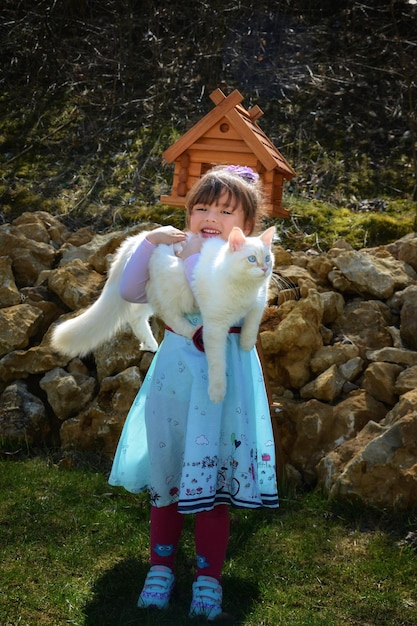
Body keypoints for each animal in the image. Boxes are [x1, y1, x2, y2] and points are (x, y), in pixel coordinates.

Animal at [51, 224, 272, 400]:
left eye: (268, 258)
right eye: (252, 259)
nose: (264, 268)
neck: (244, 289)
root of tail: (140, 237)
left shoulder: (259, 302)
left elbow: (252, 323)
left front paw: (246, 343)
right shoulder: (215, 326)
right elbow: (217, 363)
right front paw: (217, 393)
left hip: (151, 295)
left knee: (136, 317)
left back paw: (150, 343)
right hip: (168, 292)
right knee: (169, 319)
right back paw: (189, 331)